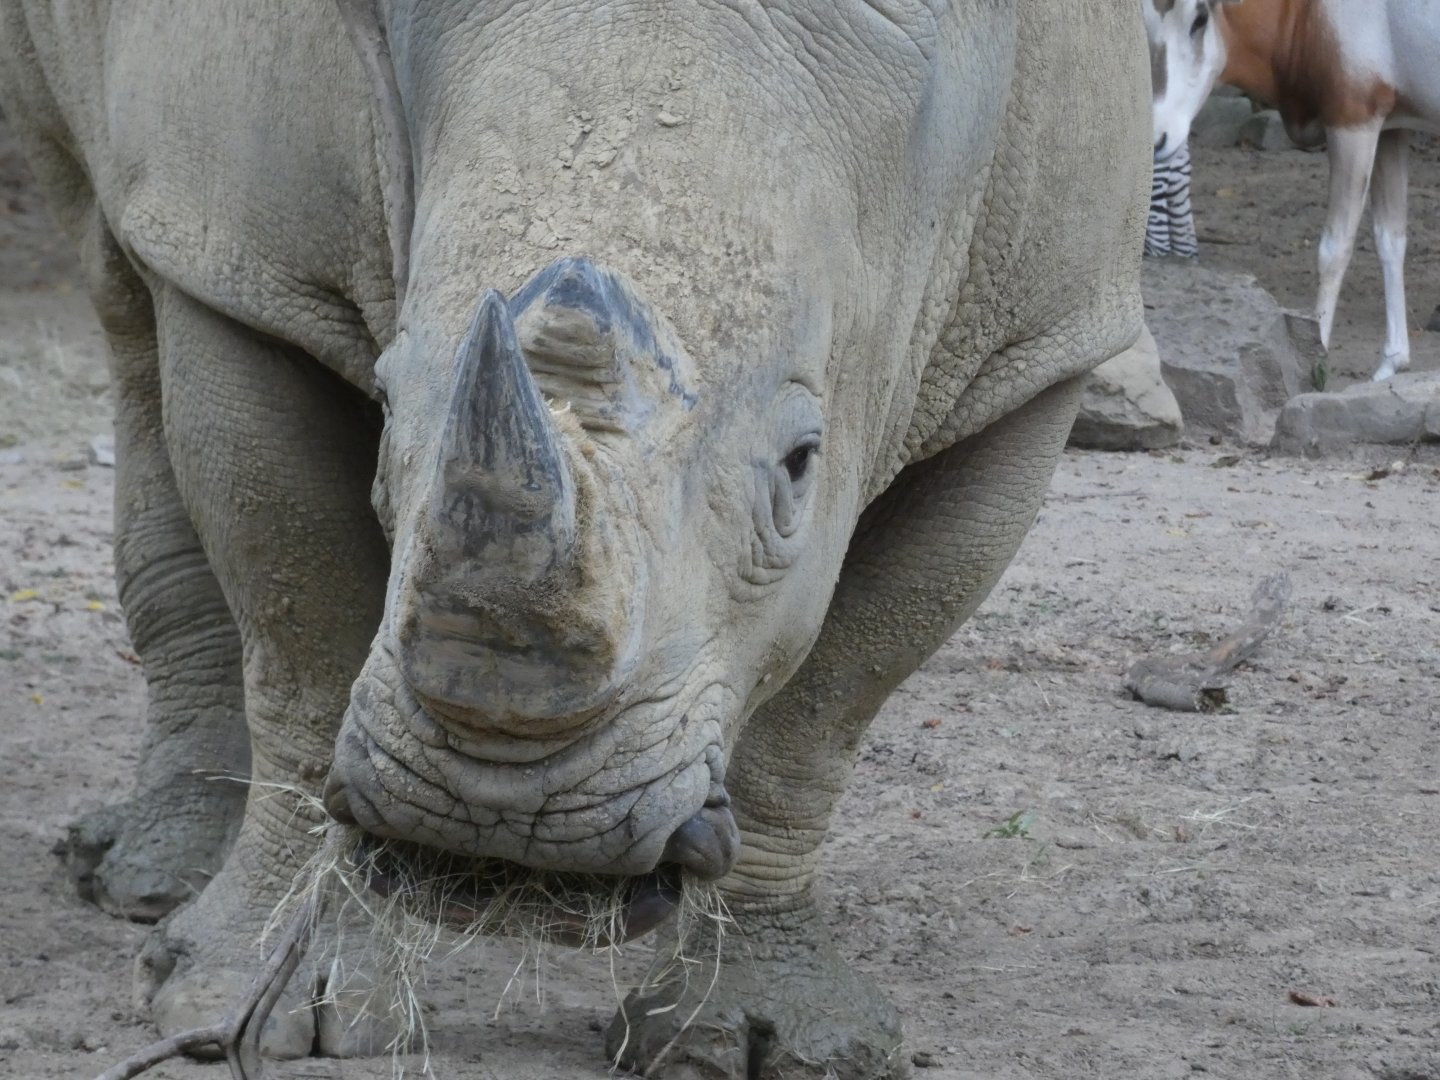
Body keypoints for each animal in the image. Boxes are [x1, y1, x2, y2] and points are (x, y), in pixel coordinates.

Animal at [0, 1, 1147, 1075]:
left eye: (800, 466)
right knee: (122, 277)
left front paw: (763, 1038)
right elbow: (301, 618)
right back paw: (146, 883)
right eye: (387, 405)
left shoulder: (1037, 344)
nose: (502, 821)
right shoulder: (254, 261)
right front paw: (249, 1003)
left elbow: (828, 704)